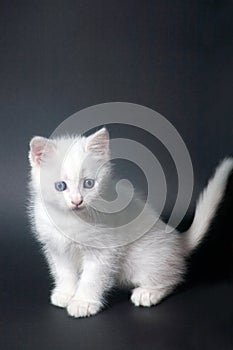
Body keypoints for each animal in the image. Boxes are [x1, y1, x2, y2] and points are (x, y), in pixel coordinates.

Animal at [28, 128, 233, 318]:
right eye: (60, 186)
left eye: (88, 184)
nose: (77, 201)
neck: (70, 220)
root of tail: (176, 240)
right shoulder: (56, 248)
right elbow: (64, 271)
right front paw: (66, 293)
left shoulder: (104, 249)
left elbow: (92, 277)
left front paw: (83, 302)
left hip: (146, 258)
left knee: (172, 277)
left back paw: (148, 293)